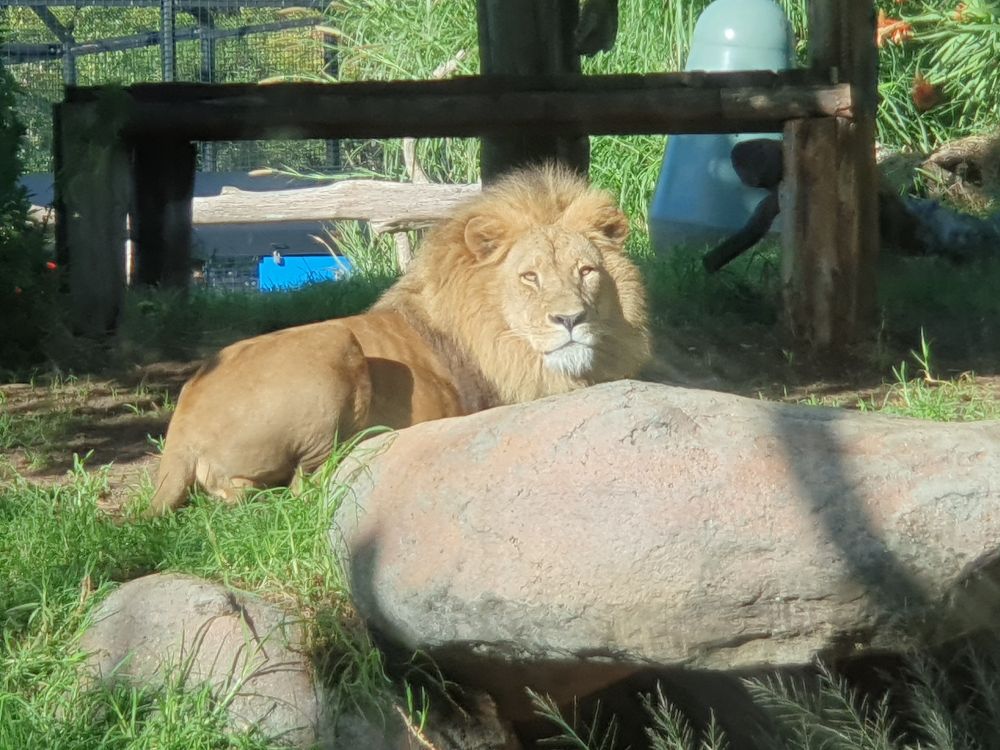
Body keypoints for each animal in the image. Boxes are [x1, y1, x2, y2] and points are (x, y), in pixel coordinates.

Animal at [145, 163, 650, 516]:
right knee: (300, 485)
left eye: (586, 271)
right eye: (529, 277)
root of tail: (180, 431)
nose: (571, 318)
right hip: (334, 342)